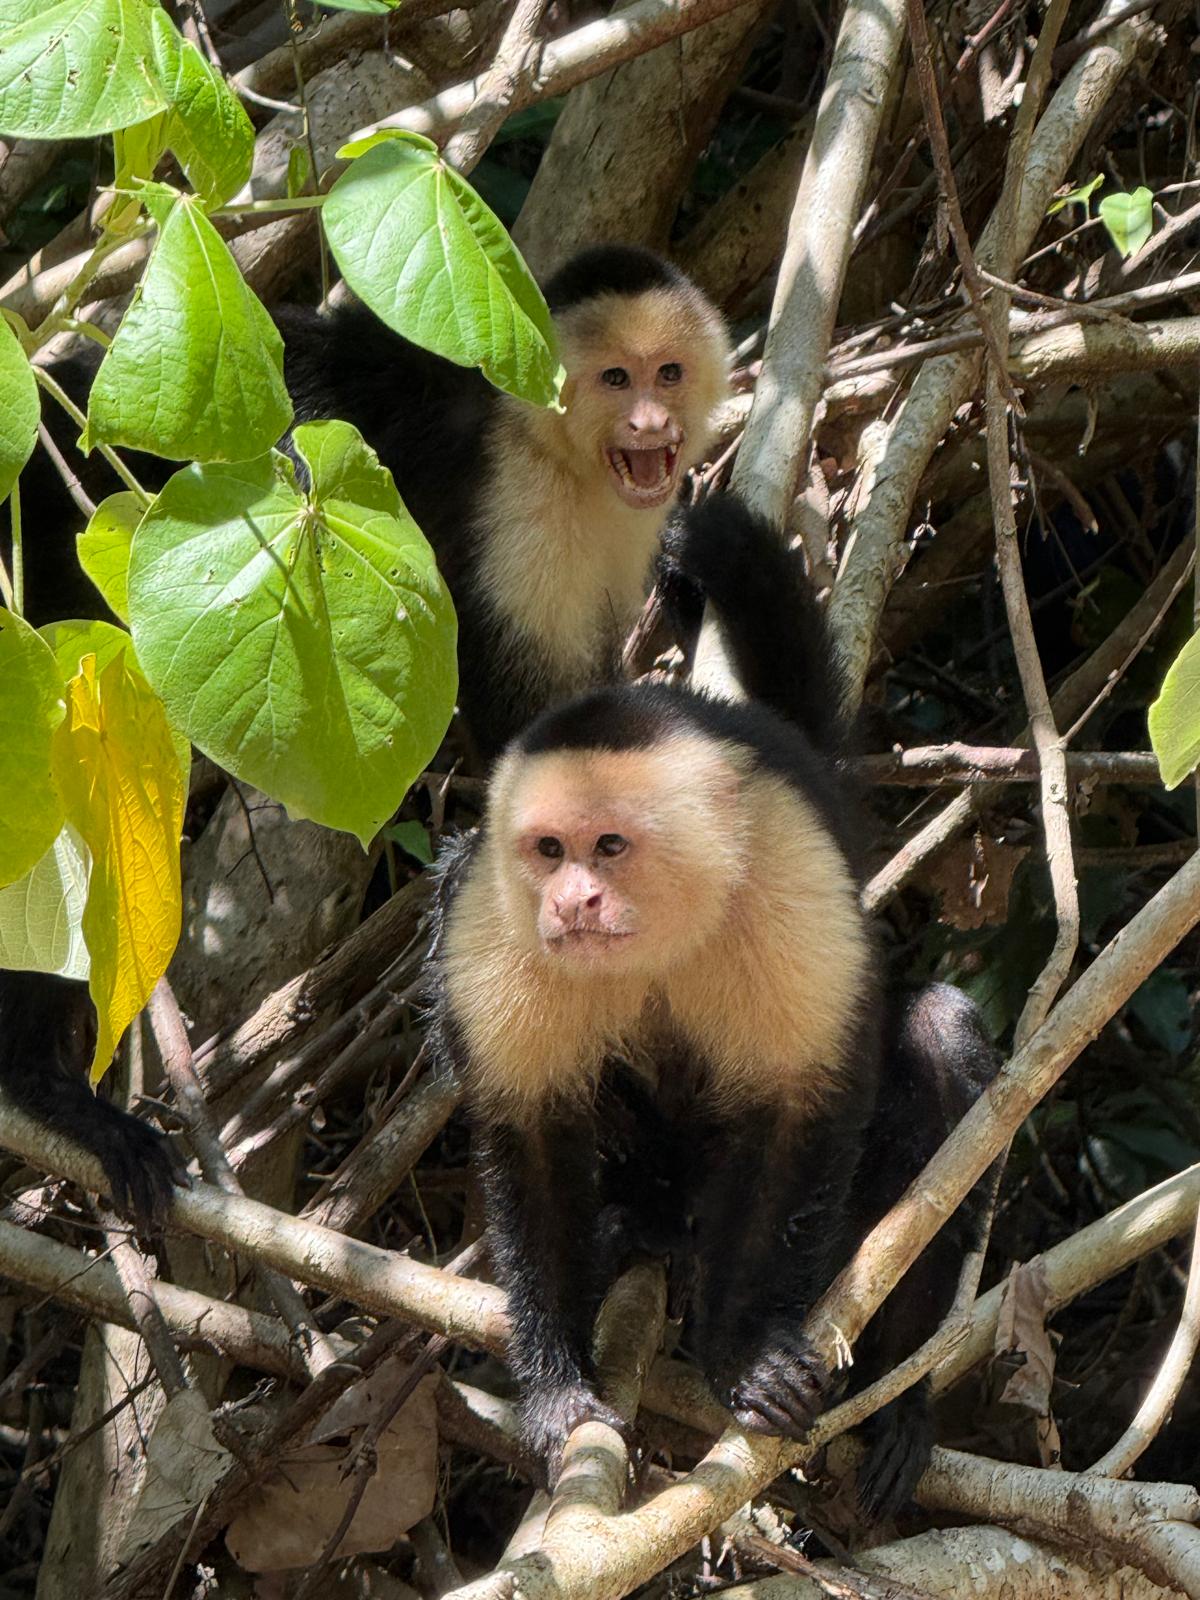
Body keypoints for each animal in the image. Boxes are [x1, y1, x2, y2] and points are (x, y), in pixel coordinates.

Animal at [427, 495, 998, 1519]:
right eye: (548, 850)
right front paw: (558, 1387)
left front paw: (743, 1354)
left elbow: (800, 1107)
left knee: (937, 1044)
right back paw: (645, 1223)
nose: (571, 903)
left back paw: (896, 1396)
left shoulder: (785, 863)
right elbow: (529, 1136)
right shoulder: (499, 919)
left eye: (609, 847)